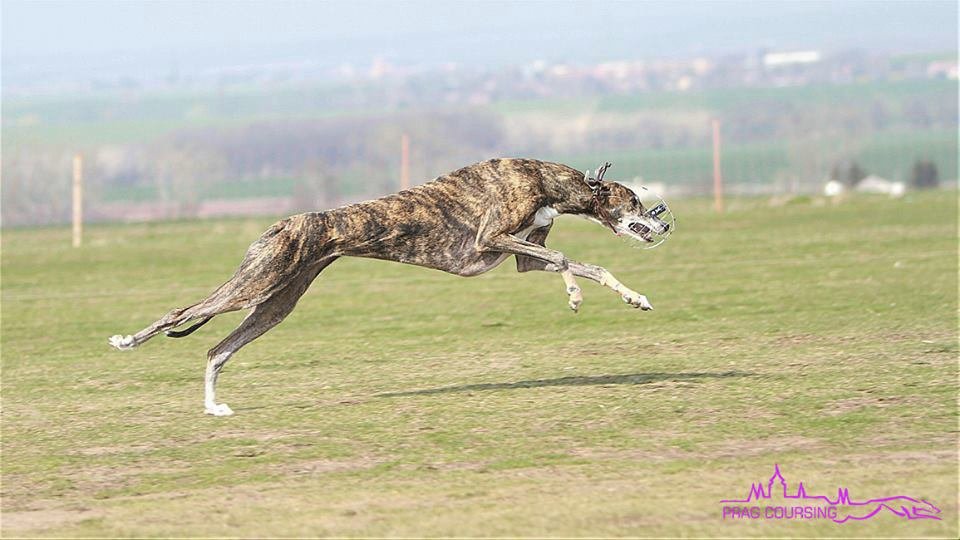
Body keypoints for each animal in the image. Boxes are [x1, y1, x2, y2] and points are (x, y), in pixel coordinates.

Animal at [109, 158, 672, 416]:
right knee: (181, 313)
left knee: (216, 348)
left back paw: (213, 406)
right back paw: (125, 341)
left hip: (277, 302)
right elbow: (566, 260)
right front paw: (575, 295)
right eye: (634, 200)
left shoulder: (518, 256)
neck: (544, 179)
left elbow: (583, 264)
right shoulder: (492, 238)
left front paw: (635, 297)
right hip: (255, 284)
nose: (664, 224)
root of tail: (281, 224)